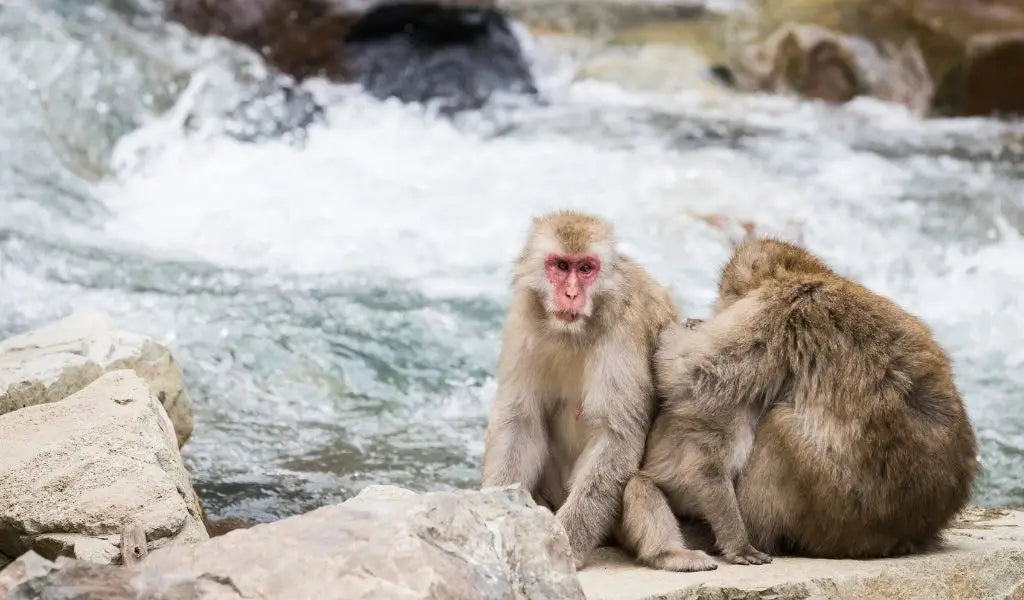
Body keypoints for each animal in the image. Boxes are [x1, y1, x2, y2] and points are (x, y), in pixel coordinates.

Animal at [479, 209, 712, 569]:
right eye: (561, 266)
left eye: (586, 269)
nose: (571, 295)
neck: (573, 333)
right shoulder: (522, 325)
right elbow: (521, 422)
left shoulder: (622, 336)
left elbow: (615, 435)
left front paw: (564, 545)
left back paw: (669, 552)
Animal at [618, 235, 978, 569]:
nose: (717, 309)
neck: (806, 275)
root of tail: (907, 534)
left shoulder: (771, 309)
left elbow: (686, 372)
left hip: (833, 514)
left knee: (778, 427)